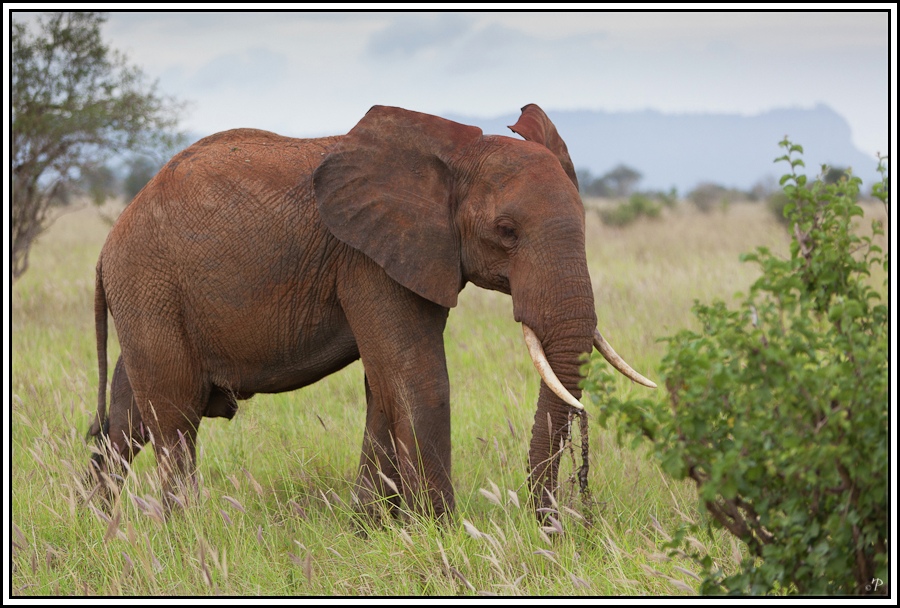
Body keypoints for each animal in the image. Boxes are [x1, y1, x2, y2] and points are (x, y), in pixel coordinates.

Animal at [88, 103, 652, 516]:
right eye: (507, 232)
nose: (551, 523)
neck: (455, 154)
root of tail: (109, 240)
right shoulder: (368, 259)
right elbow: (415, 377)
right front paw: (442, 533)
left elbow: (385, 387)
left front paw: (370, 529)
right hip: (151, 285)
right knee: (174, 417)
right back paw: (186, 531)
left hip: (148, 297)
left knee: (126, 418)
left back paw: (97, 524)